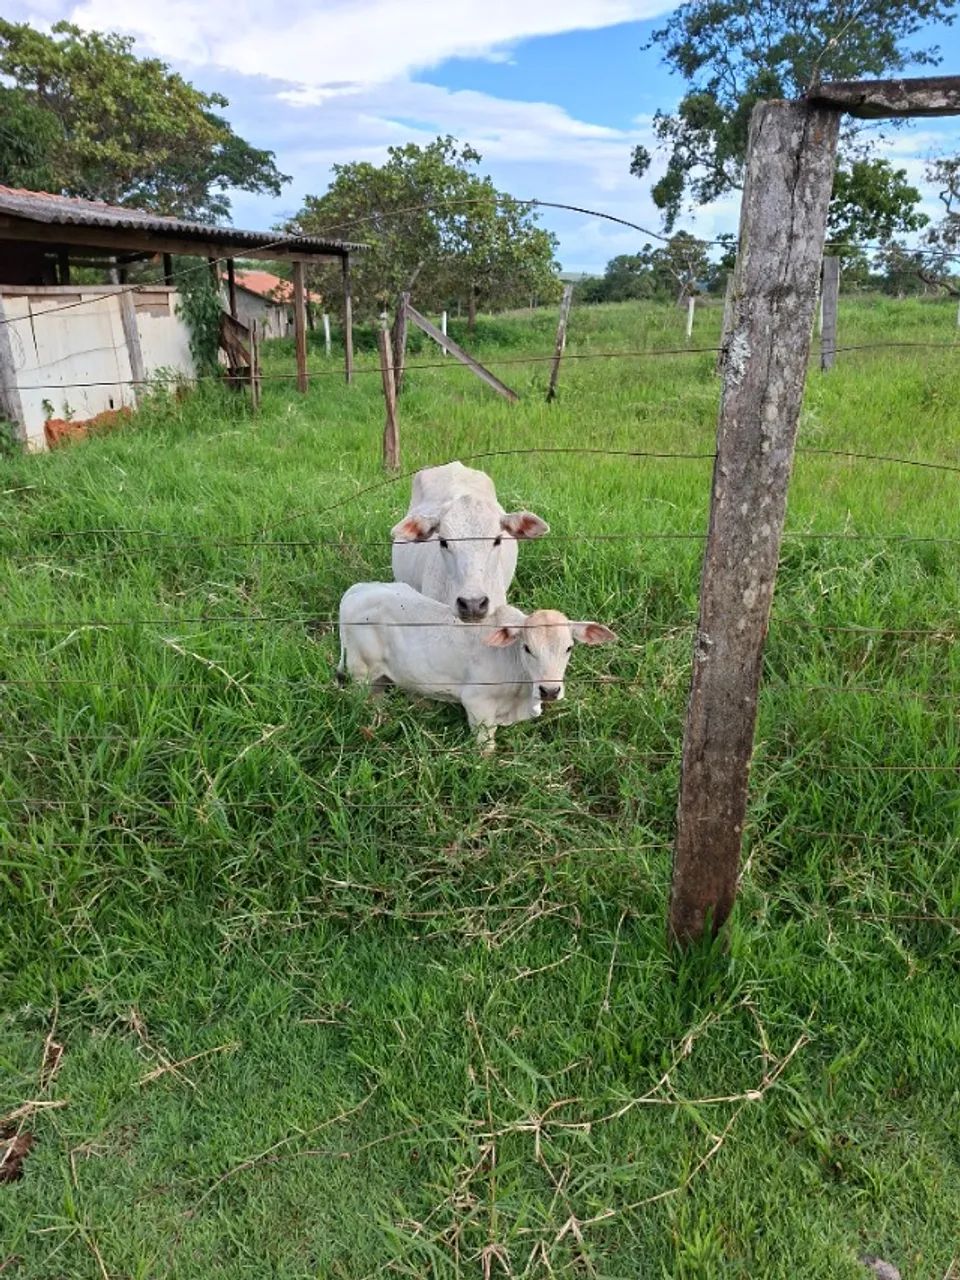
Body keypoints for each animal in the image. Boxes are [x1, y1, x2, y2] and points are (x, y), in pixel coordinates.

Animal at [337, 581, 617, 752]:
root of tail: (358, 589)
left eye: (568, 648)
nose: (549, 691)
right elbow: (486, 749)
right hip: (360, 672)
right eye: (527, 648)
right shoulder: (477, 704)